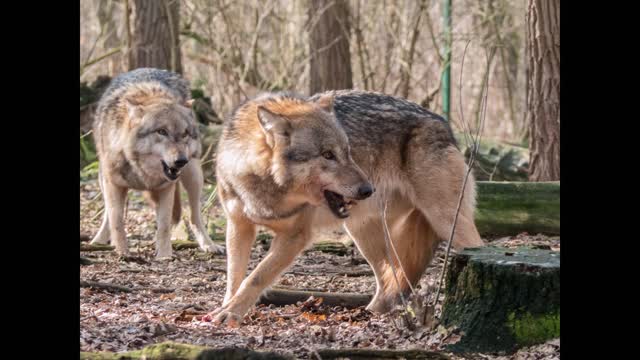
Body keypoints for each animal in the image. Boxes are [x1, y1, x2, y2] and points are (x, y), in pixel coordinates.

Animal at [89, 68, 225, 258]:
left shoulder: (166, 188)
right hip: (103, 179)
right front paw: (122, 252)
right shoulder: (114, 184)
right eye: (162, 131)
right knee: (108, 213)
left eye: (185, 134)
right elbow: (117, 221)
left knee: (194, 216)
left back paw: (208, 245)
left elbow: (164, 225)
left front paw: (164, 256)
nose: (181, 161)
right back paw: (99, 241)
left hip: (194, 177)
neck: (141, 171)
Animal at [212, 90, 482, 326]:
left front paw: (231, 313)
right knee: (389, 279)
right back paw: (372, 314)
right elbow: (234, 277)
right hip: (363, 233)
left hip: (448, 223)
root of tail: (443, 123)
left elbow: (256, 276)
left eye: (348, 151)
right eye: (327, 155)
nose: (368, 189)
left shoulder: (295, 236)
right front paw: (226, 308)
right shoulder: (238, 226)